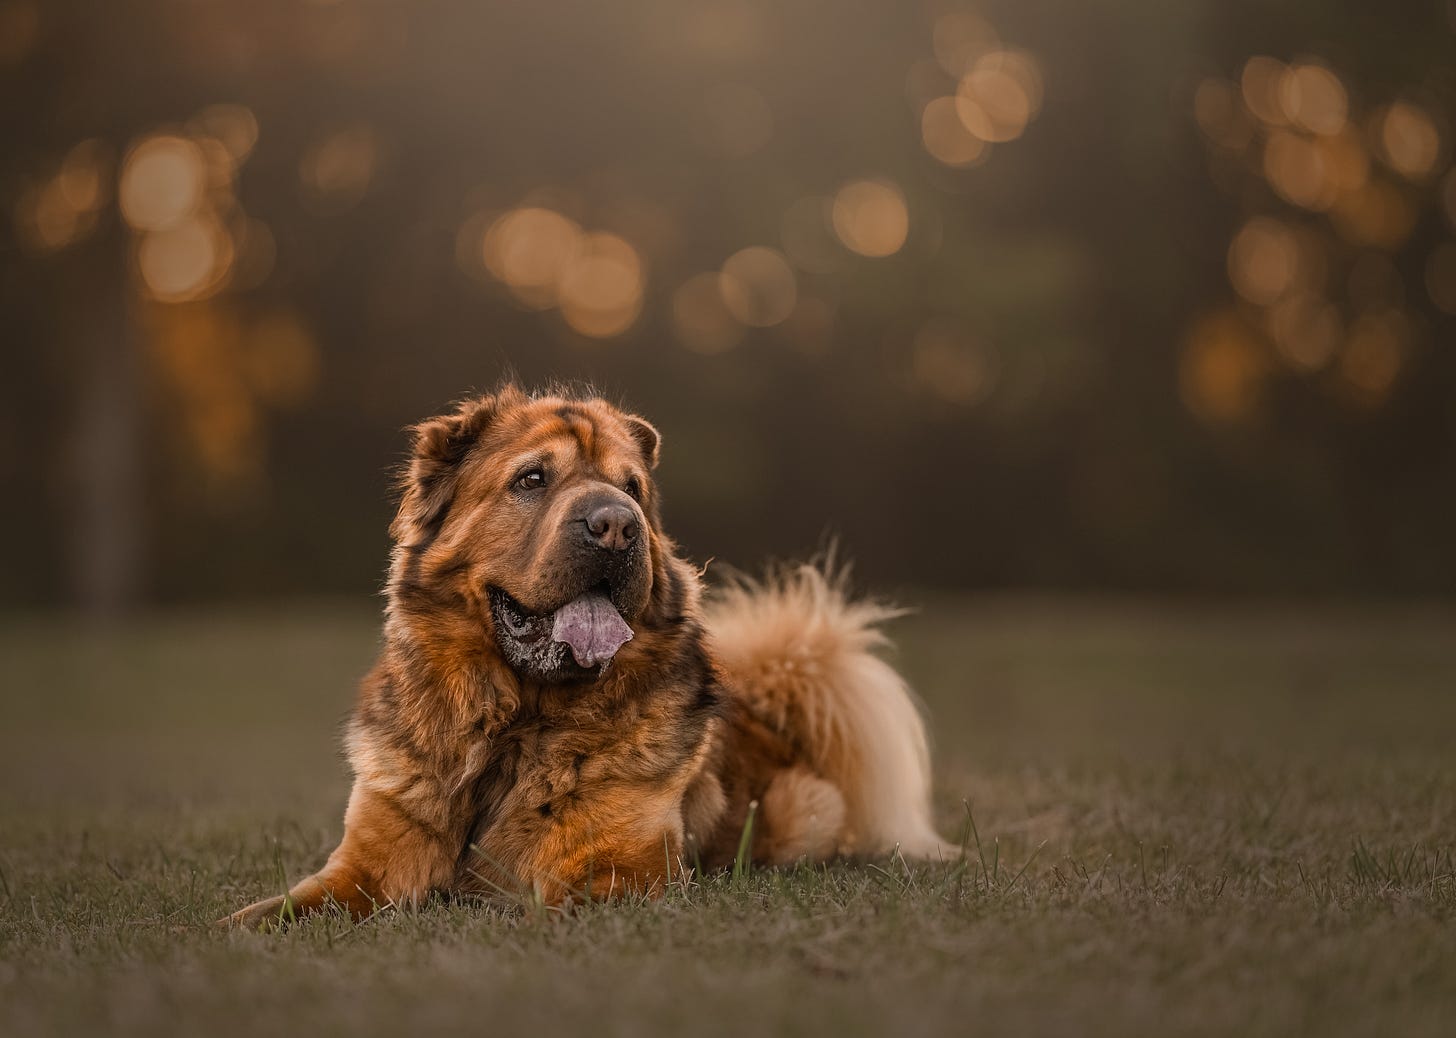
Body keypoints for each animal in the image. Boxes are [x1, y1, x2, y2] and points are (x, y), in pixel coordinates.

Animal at [222, 384, 949, 925]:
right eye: (532, 479)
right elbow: (273, 912)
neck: (510, 731)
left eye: (632, 488)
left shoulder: (618, 874)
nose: (617, 523)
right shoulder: (366, 863)